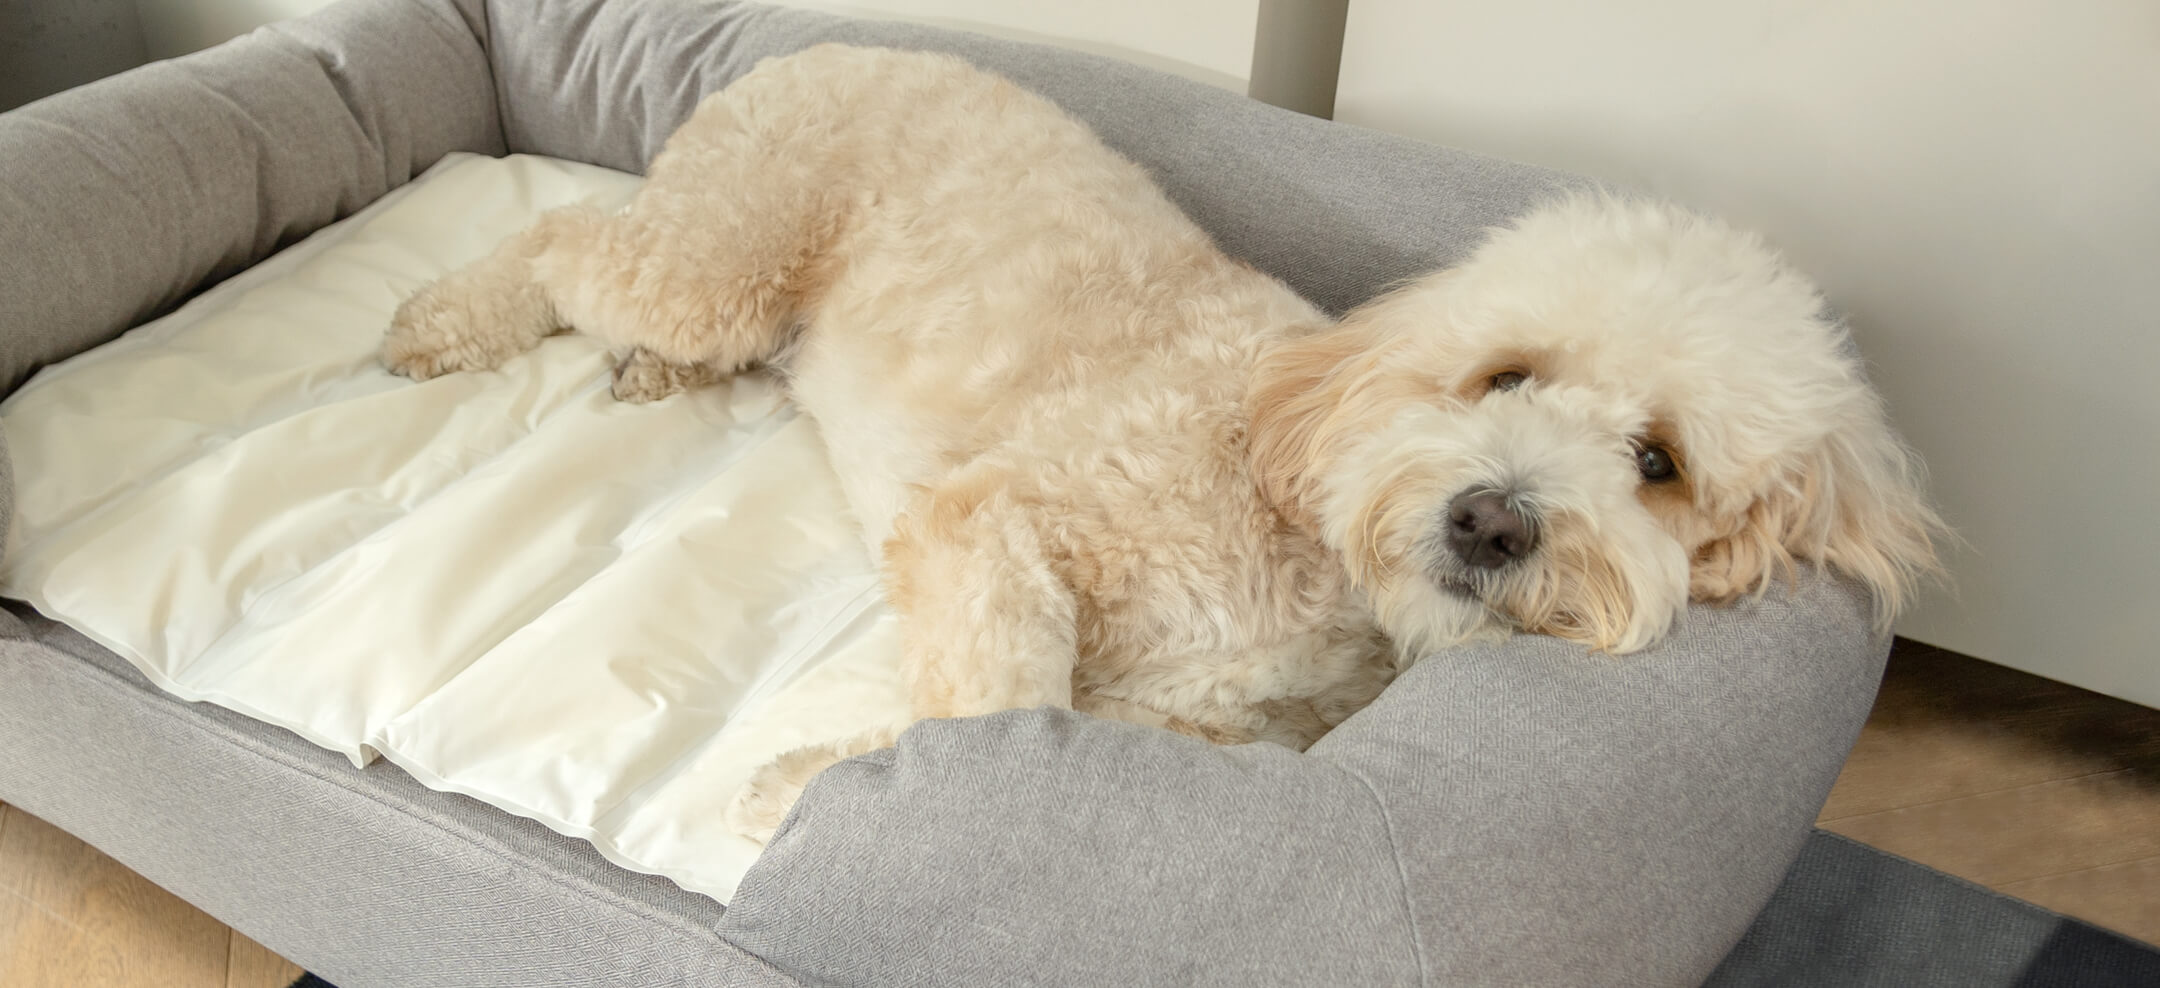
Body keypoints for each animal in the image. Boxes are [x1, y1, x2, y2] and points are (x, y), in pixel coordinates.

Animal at [380, 44, 1952, 838]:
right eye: (1502, 375)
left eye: (1659, 464)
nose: (1495, 519)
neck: (1307, 521)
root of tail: (823, 33)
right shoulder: (994, 521)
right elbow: (1002, 694)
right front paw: (810, 789)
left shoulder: (1191, 716)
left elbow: (1038, 724)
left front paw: (817, 780)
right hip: (727, 248)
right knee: (562, 241)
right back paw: (443, 322)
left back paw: (643, 371)